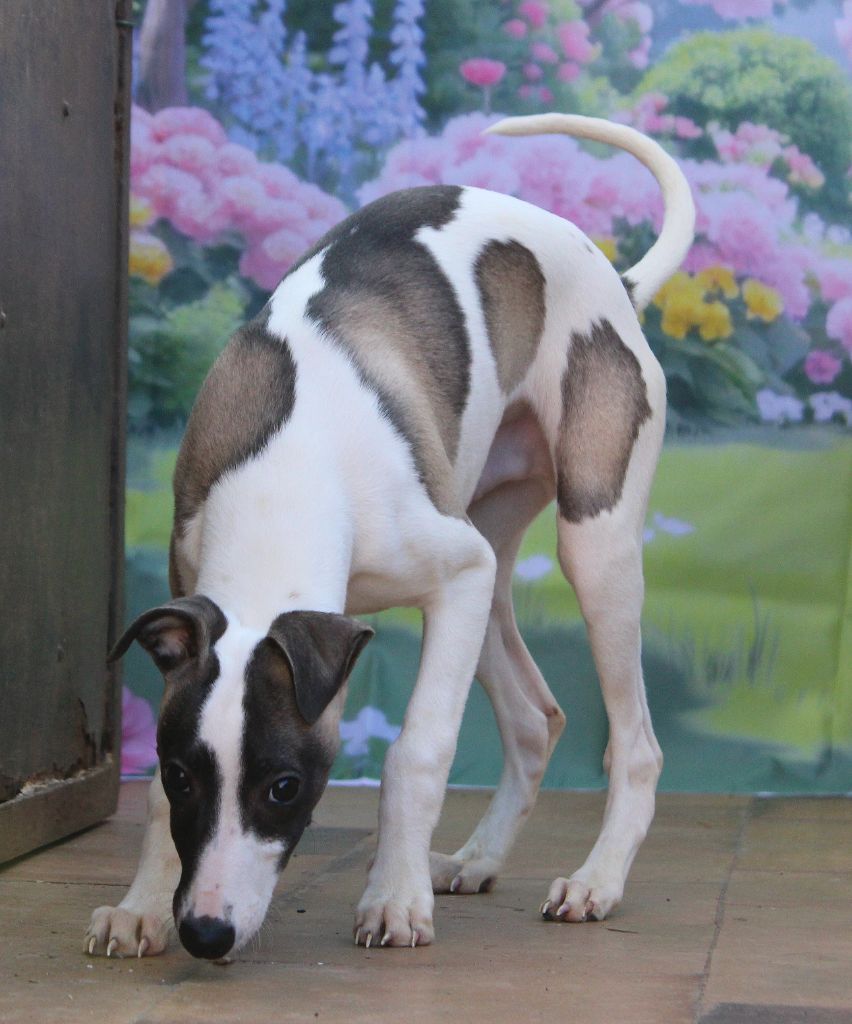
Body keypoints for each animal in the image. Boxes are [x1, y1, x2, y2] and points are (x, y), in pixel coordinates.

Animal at [85, 114, 695, 960]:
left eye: (285, 786)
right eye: (180, 776)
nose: (206, 932)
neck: (286, 477)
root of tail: (618, 281)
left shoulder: (456, 574)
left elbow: (418, 750)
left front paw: (394, 899)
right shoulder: (195, 579)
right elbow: (149, 803)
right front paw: (141, 905)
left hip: (591, 544)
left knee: (635, 743)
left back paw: (596, 881)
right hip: (492, 562)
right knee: (535, 719)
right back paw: (477, 859)